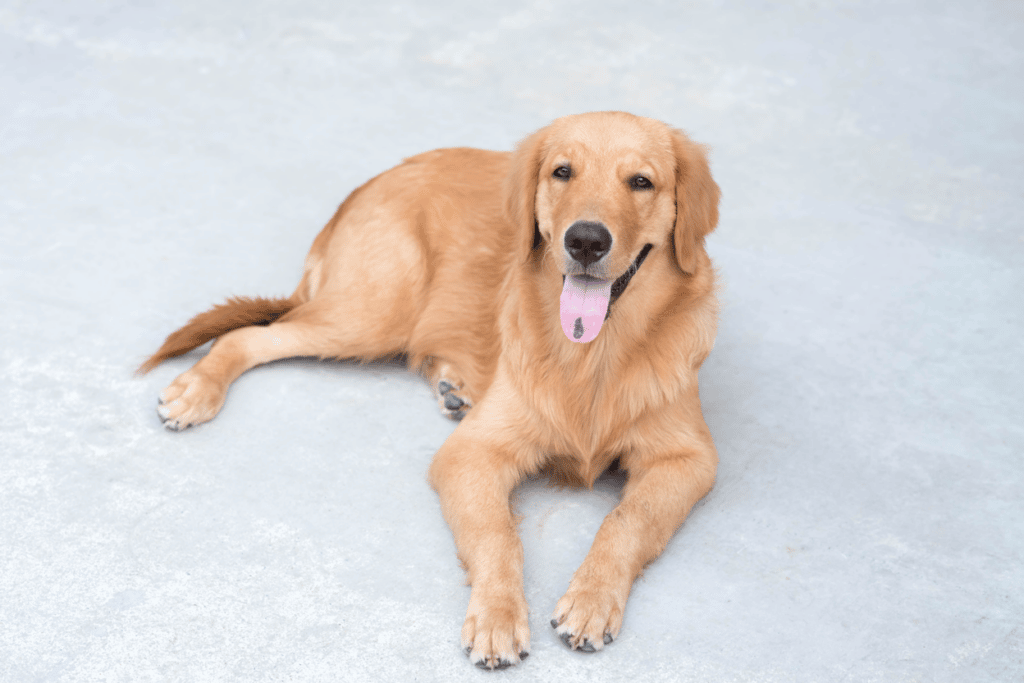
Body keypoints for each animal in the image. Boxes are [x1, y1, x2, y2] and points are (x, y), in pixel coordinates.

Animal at [138, 111, 720, 667]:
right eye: (562, 172)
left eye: (641, 181)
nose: (585, 240)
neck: (593, 359)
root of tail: (370, 184)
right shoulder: (470, 454)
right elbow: (498, 533)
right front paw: (497, 615)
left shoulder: (688, 459)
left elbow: (627, 519)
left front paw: (592, 599)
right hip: (370, 316)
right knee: (247, 335)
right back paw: (197, 388)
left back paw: (454, 388)